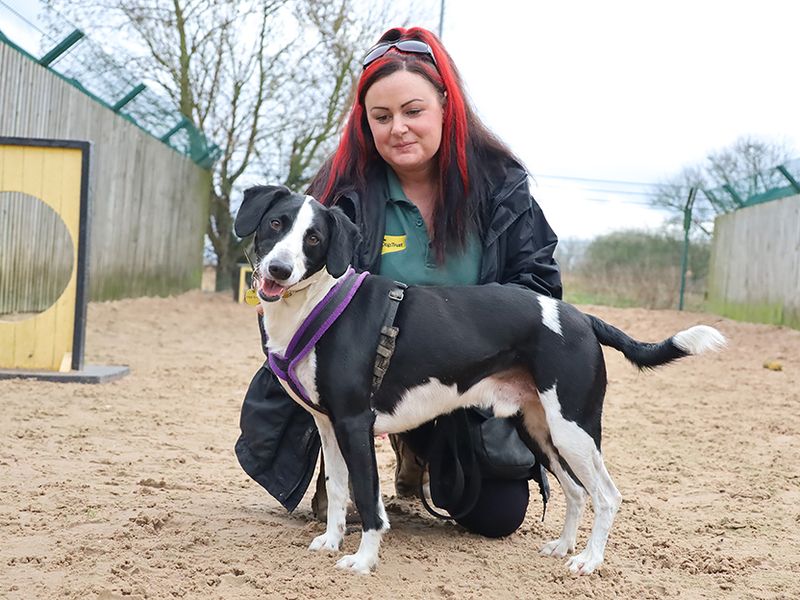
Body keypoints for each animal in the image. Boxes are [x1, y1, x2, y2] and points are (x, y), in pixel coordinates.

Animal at [234, 184, 728, 576]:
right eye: (276, 223)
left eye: (314, 238)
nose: (278, 270)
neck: (321, 304)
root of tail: (582, 318)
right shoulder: (328, 425)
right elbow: (339, 490)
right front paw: (333, 541)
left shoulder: (356, 424)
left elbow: (370, 499)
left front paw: (363, 560)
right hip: (541, 431)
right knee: (575, 491)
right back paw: (564, 546)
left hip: (575, 428)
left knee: (606, 495)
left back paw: (589, 560)